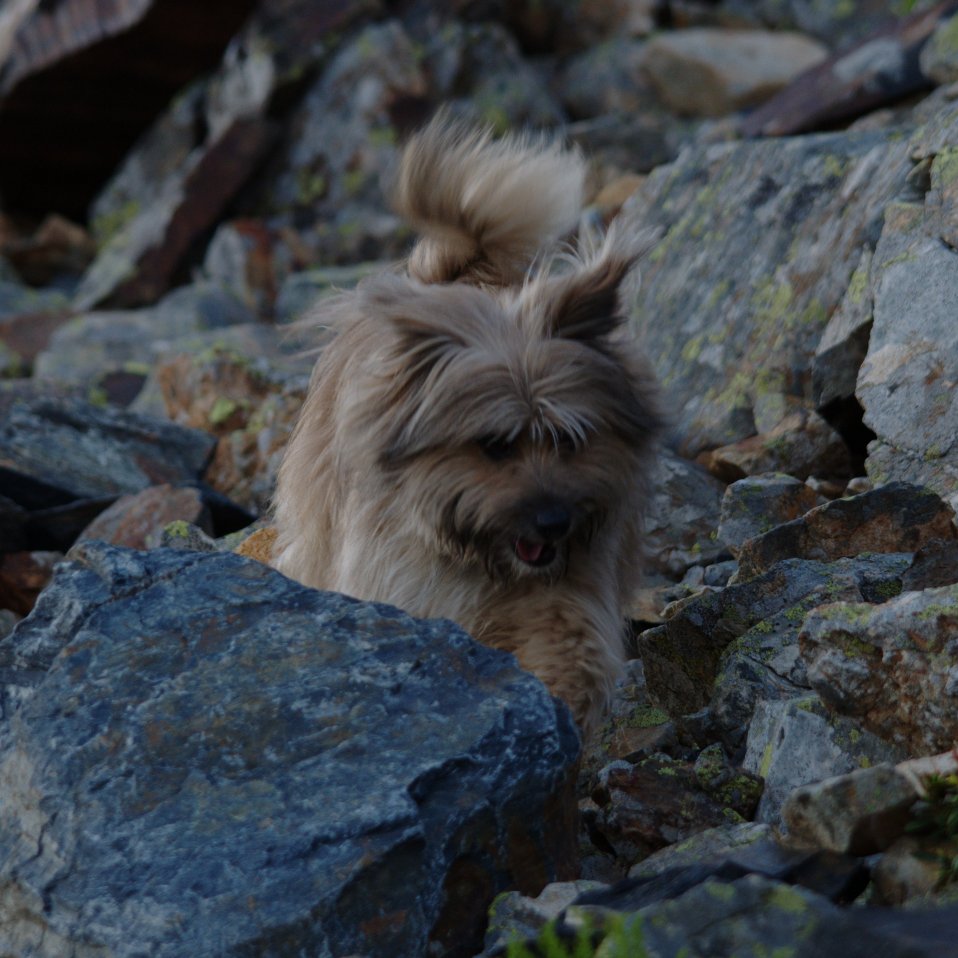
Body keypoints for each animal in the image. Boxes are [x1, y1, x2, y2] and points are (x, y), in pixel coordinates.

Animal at [270, 114, 660, 744]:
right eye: (494, 446)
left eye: (569, 440)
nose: (553, 522)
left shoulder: (568, 583)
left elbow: (566, 639)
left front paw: (559, 700)